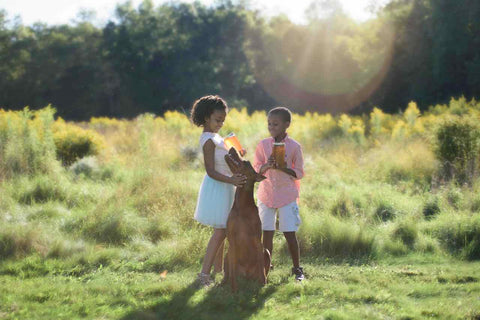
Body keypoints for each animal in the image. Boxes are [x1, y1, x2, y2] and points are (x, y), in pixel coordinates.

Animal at [224, 148, 272, 292]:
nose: (232, 149)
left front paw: (263, 284)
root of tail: (246, 275)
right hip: (227, 253)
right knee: (228, 273)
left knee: (265, 268)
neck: (242, 206)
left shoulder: (257, 239)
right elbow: (232, 273)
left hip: (266, 252)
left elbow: (262, 269)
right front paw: (234, 290)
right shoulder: (231, 240)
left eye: (246, 162)